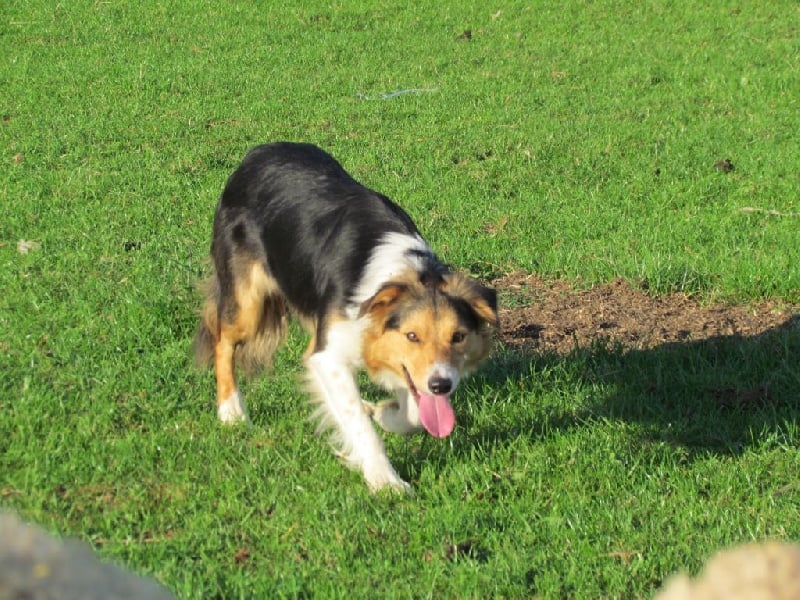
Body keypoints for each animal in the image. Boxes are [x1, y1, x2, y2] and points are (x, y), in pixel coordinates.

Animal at [195, 142, 498, 492]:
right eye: (412, 336)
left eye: (458, 337)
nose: (441, 386)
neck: (403, 274)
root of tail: (260, 150)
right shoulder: (330, 356)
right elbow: (360, 423)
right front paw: (385, 480)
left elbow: (410, 412)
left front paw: (384, 414)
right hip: (248, 303)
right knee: (222, 340)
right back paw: (231, 410)